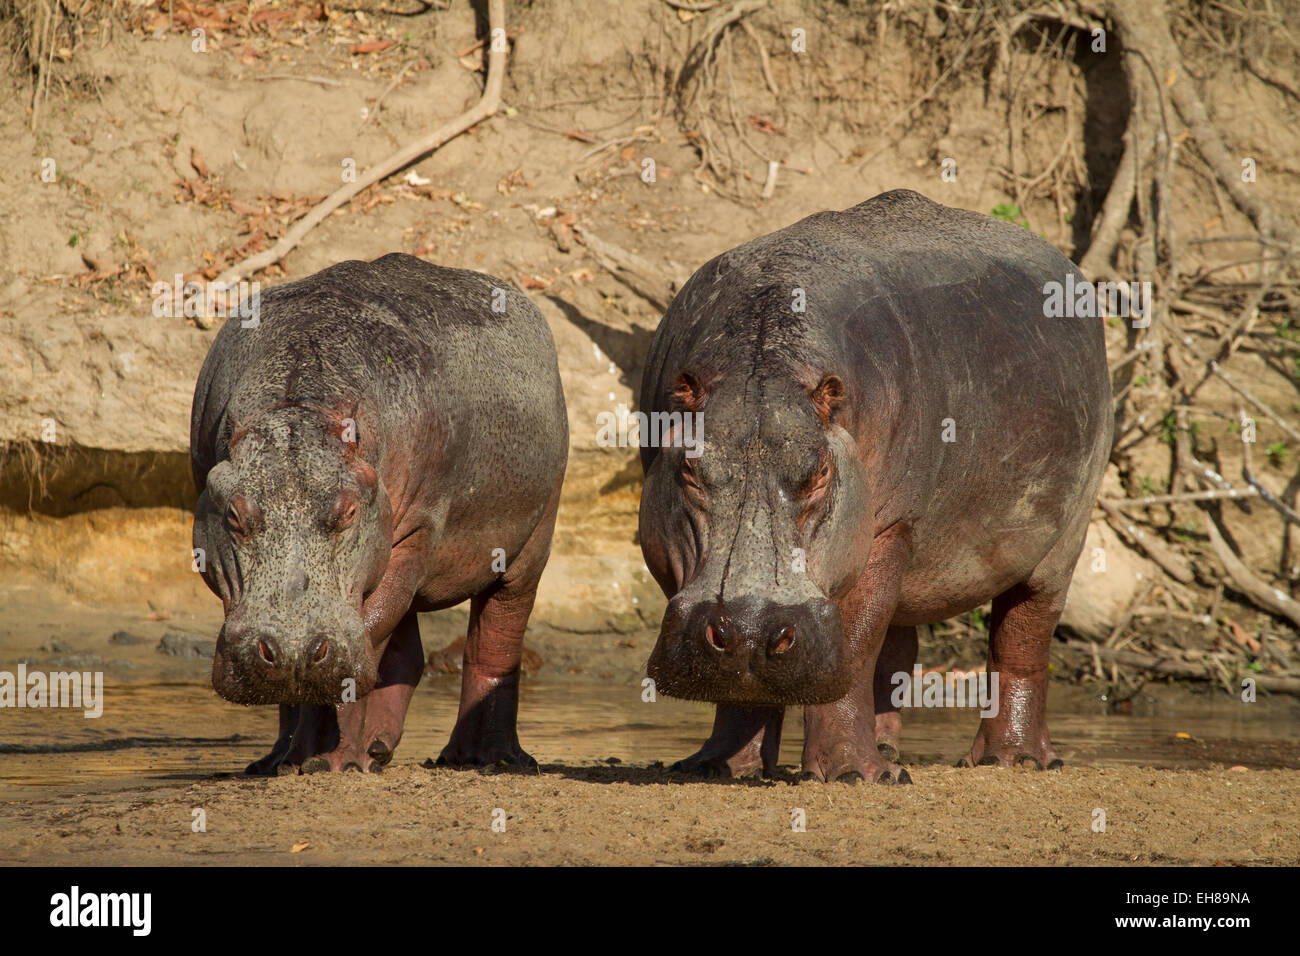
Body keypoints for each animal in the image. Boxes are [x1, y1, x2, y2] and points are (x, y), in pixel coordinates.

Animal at [190, 253, 567, 773]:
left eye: (348, 511)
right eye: (233, 514)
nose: (290, 651)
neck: (298, 402)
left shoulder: (416, 529)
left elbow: (365, 643)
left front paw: (327, 762)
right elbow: (347, 662)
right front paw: (284, 761)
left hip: (528, 542)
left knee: (494, 640)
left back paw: (484, 758)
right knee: (404, 651)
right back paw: (373, 751)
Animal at [638, 189, 1113, 783]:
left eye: (820, 474)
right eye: (688, 469)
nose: (747, 632)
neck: (763, 359)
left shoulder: (889, 526)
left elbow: (858, 641)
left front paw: (856, 775)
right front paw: (716, 767)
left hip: (1062, 537)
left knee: (1023, 635)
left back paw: (1015, 759)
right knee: (900, 646)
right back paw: (889, 748)